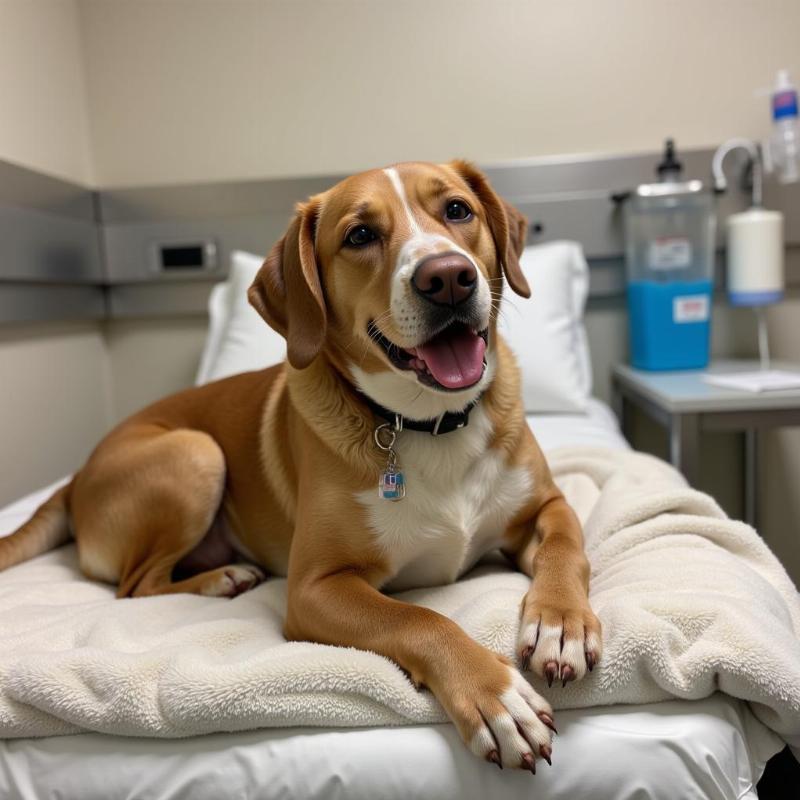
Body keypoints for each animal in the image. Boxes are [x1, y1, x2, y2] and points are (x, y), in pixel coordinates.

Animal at [1, 161, 600, 768]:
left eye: (457, 210)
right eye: (359, 235)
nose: (449, 277)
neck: (428, 422)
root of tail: (77, 475)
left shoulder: (547, 505)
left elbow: (564, 548)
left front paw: (560, 623)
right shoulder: (315, 587)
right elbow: (418, 617)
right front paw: (491, 691)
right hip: (195, 452)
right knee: (135, 587)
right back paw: (222, 578)